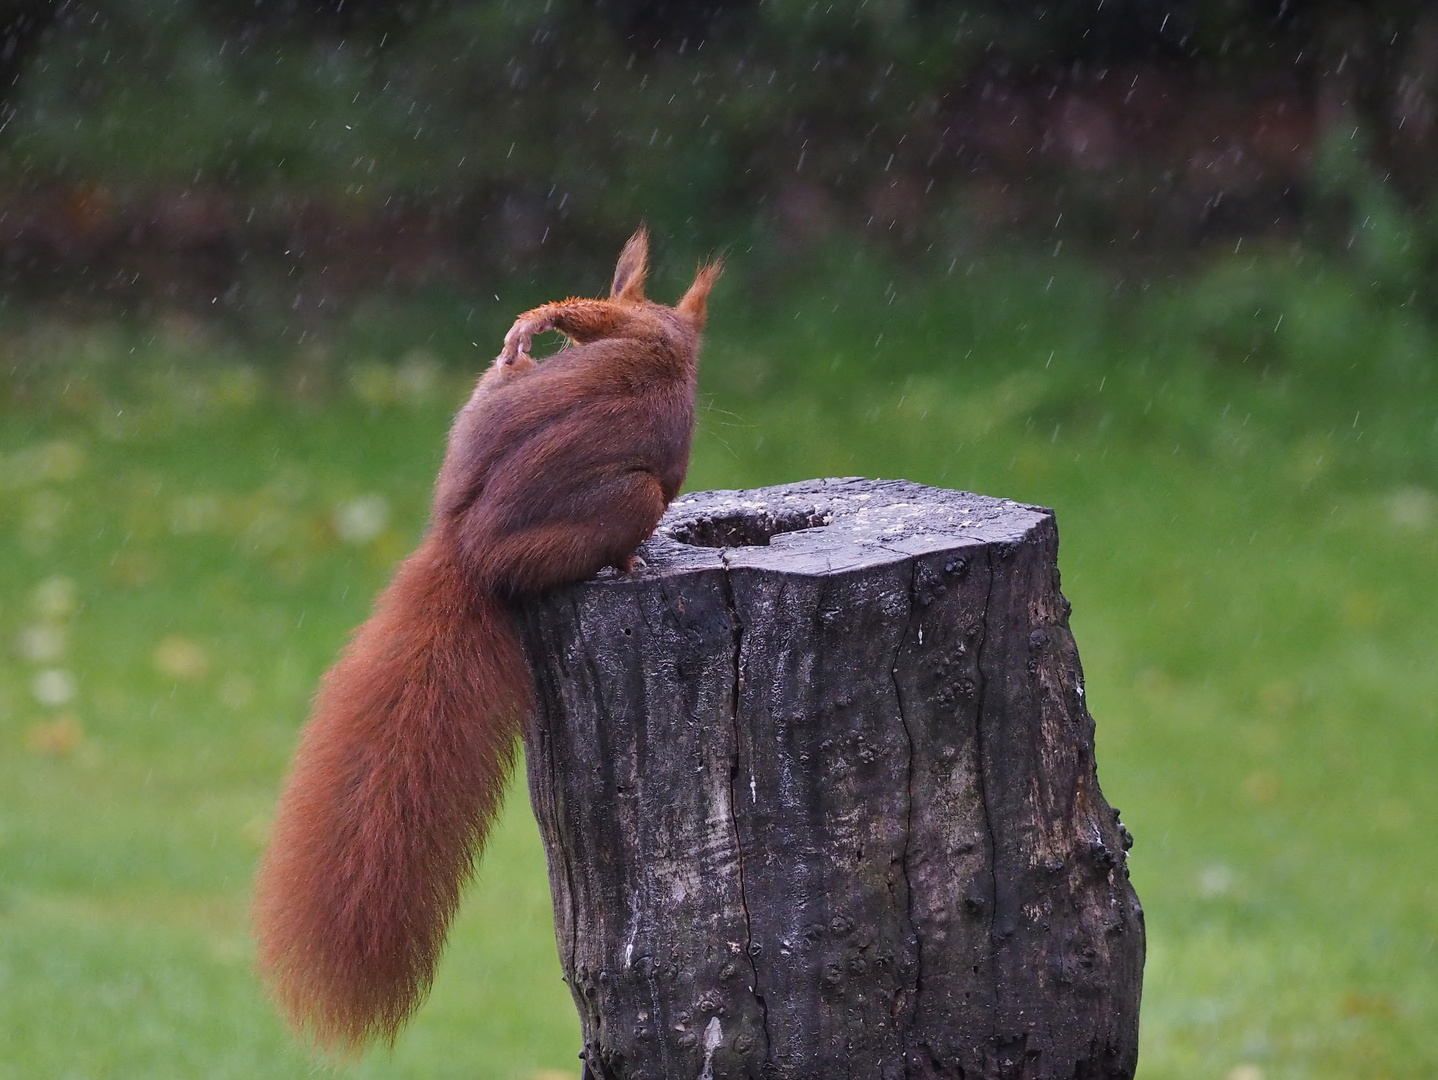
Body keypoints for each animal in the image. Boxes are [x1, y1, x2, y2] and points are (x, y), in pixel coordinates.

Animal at [252, 228, 721, 1053]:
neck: (671, 341)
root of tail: (466, 549)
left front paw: (530, 331)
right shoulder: (645, 331)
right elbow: (596, 315)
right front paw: (539, 319)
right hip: (632, 499)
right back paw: (627, 561)